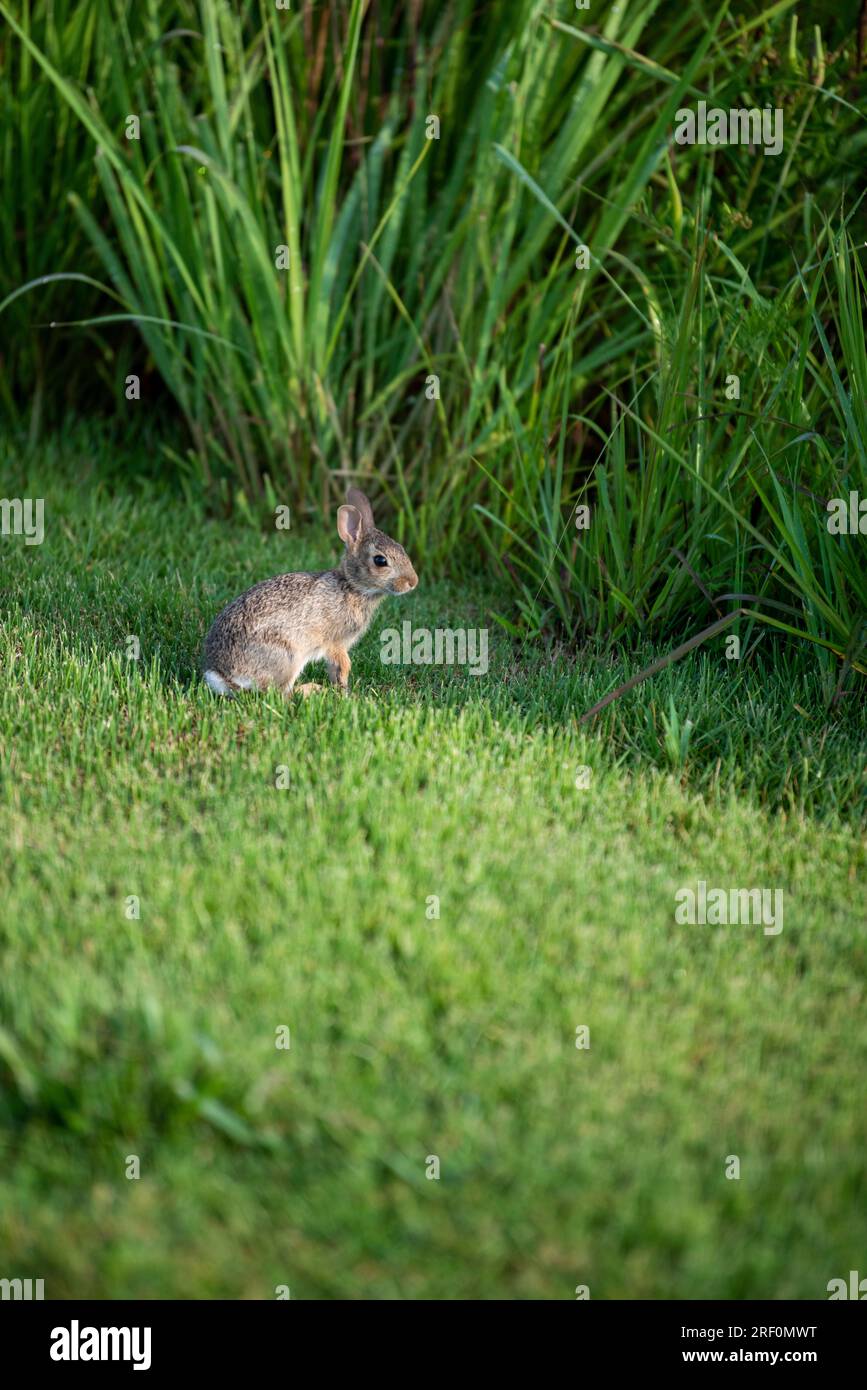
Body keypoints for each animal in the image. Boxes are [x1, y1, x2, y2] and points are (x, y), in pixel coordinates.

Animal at [202, 487, 418, 698]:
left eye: (401, 548)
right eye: (380, 561)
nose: (413, 582)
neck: (353, 587)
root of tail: (221, 675)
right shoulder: (335, 643)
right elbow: (343, 665)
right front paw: (345, 692)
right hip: (288, 656)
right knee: (279, 693)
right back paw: (311, 689)